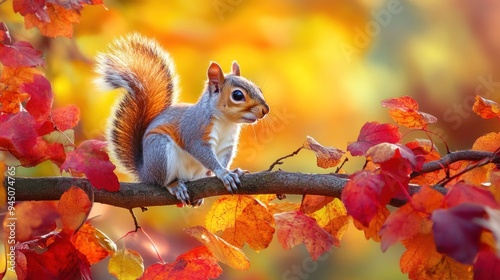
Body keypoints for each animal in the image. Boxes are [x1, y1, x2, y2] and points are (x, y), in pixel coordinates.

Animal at [96, 33, 272, 206]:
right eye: (237, 95)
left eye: (258, 88)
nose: (265, 110)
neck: (226, 122)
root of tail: (145, 172)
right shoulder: (195, 131)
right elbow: (202, 152)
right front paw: (224, 173)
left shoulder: (226, 146)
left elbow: (223, 159)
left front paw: (232, 171)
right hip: (160, 151)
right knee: (162, 181)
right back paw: (174, 185)